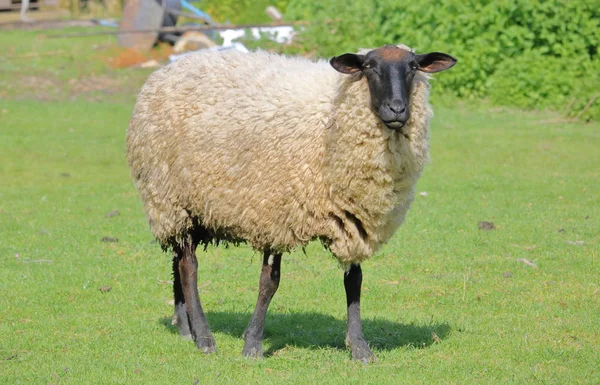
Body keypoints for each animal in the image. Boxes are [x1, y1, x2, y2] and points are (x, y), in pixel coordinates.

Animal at [125, 43, 454, 362]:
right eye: (369, 67)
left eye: (413, 66)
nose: (396, 109)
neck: (331, 116)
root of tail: (170, 67)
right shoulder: (275, 213)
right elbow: (269, 282)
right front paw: (252, 346)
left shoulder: (355, 217)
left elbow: (355, 281)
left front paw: (359, 348)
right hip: (168, 198)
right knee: (189, 266)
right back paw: (204, 338)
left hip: (188, 209)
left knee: (177, 259)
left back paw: (185, 328)